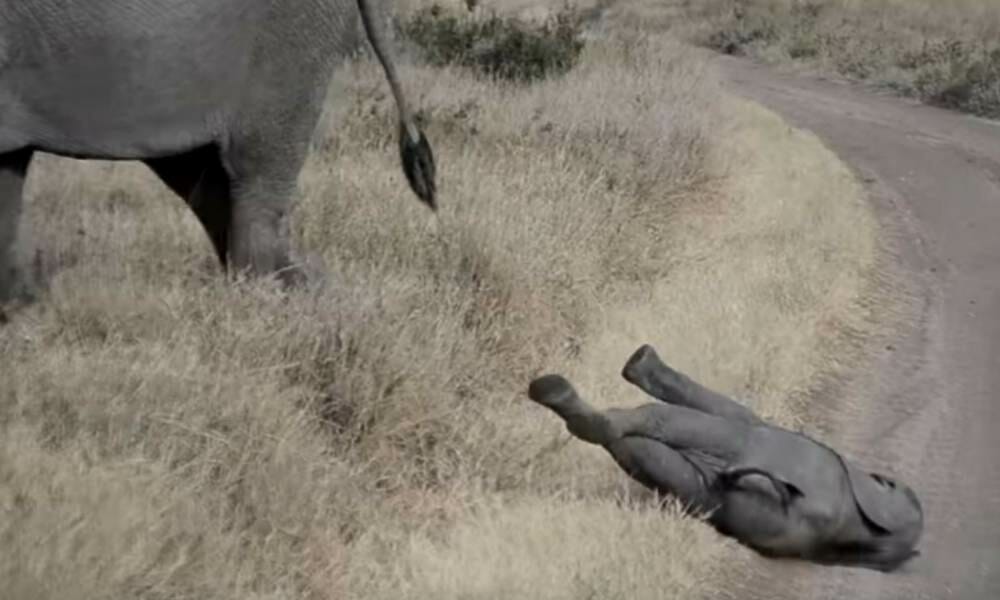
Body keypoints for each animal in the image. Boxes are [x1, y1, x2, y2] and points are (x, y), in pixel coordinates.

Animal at [526, 344, 924, 572]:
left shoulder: (809, 460)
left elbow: (731, 420)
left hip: (749, 457)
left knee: (684, 425)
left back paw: (556, 394)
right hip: (710, 488)